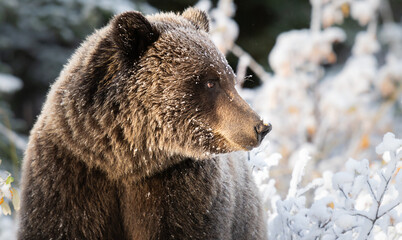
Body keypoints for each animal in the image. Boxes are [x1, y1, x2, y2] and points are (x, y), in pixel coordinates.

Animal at [17, 7, 272, 240]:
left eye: (230, 79)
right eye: (211, 82)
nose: (261, 127)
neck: (125, 160)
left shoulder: (179, 189)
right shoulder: (70, 174)